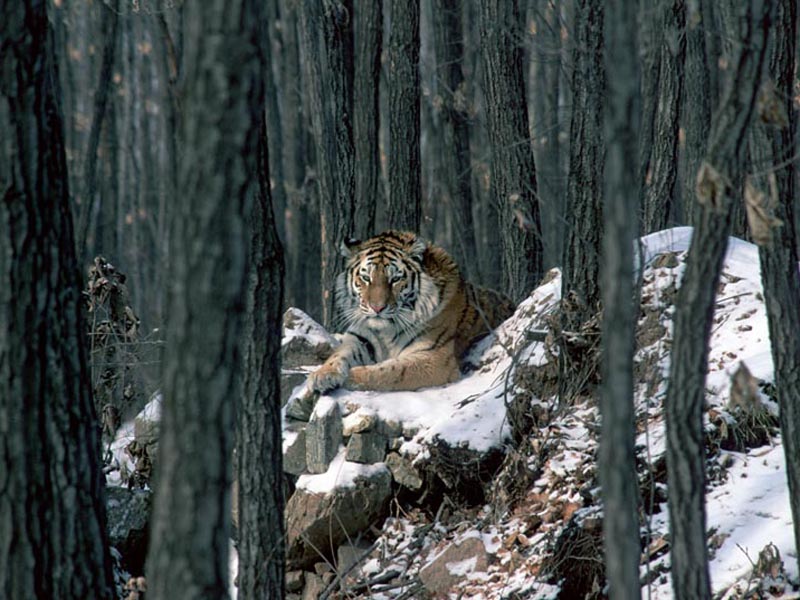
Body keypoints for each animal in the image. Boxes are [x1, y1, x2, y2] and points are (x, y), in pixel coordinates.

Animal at [304, 232, 516, 396]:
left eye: (395, 279)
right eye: (365, 278)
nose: (377, 308)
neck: (386, 330)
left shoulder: (434, 358)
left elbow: (391, 370)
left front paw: (351, 376)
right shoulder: (359, 339)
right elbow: (338, 355)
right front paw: (321, 376)